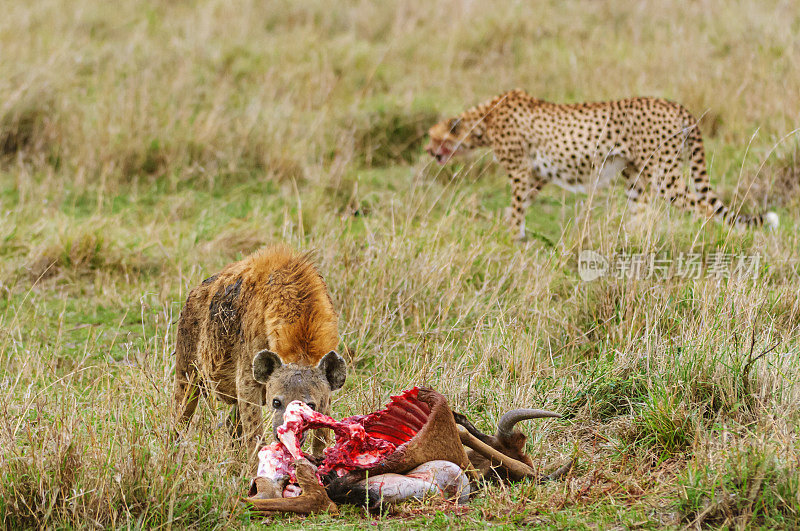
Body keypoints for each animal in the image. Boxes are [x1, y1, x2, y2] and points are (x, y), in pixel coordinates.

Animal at [173, 245, 346, 466]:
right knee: (181, 412)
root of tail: (196, 290)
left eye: (310, 406)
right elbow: (254, 432)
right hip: (188, 361)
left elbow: (323, 434)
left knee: (231, 423)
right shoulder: (247, 376)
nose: (287, 436)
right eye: (276, 402)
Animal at [428, 89, 780, 239]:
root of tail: (677, 106)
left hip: (663, 176)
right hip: (635, 174)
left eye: (434, 137)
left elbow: (516, 208)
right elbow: (521, 206)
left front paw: (512, 239)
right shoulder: (537, 175)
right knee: (641, 214)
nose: (429, 151)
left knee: (703, 208)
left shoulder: (519, 171)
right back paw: (631, 244)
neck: (484, 120)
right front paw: (516, 235)